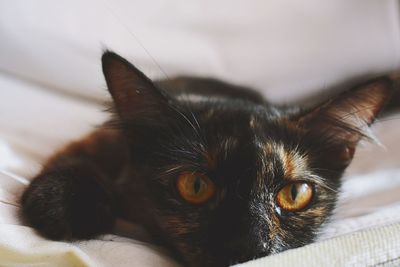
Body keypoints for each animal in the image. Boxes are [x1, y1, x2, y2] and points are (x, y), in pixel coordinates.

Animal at [21, 51, 396, 266]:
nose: (250, 246)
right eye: (195, 186)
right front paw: (66, 203)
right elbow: (76, 158)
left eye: (294, 194)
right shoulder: (103, 140)